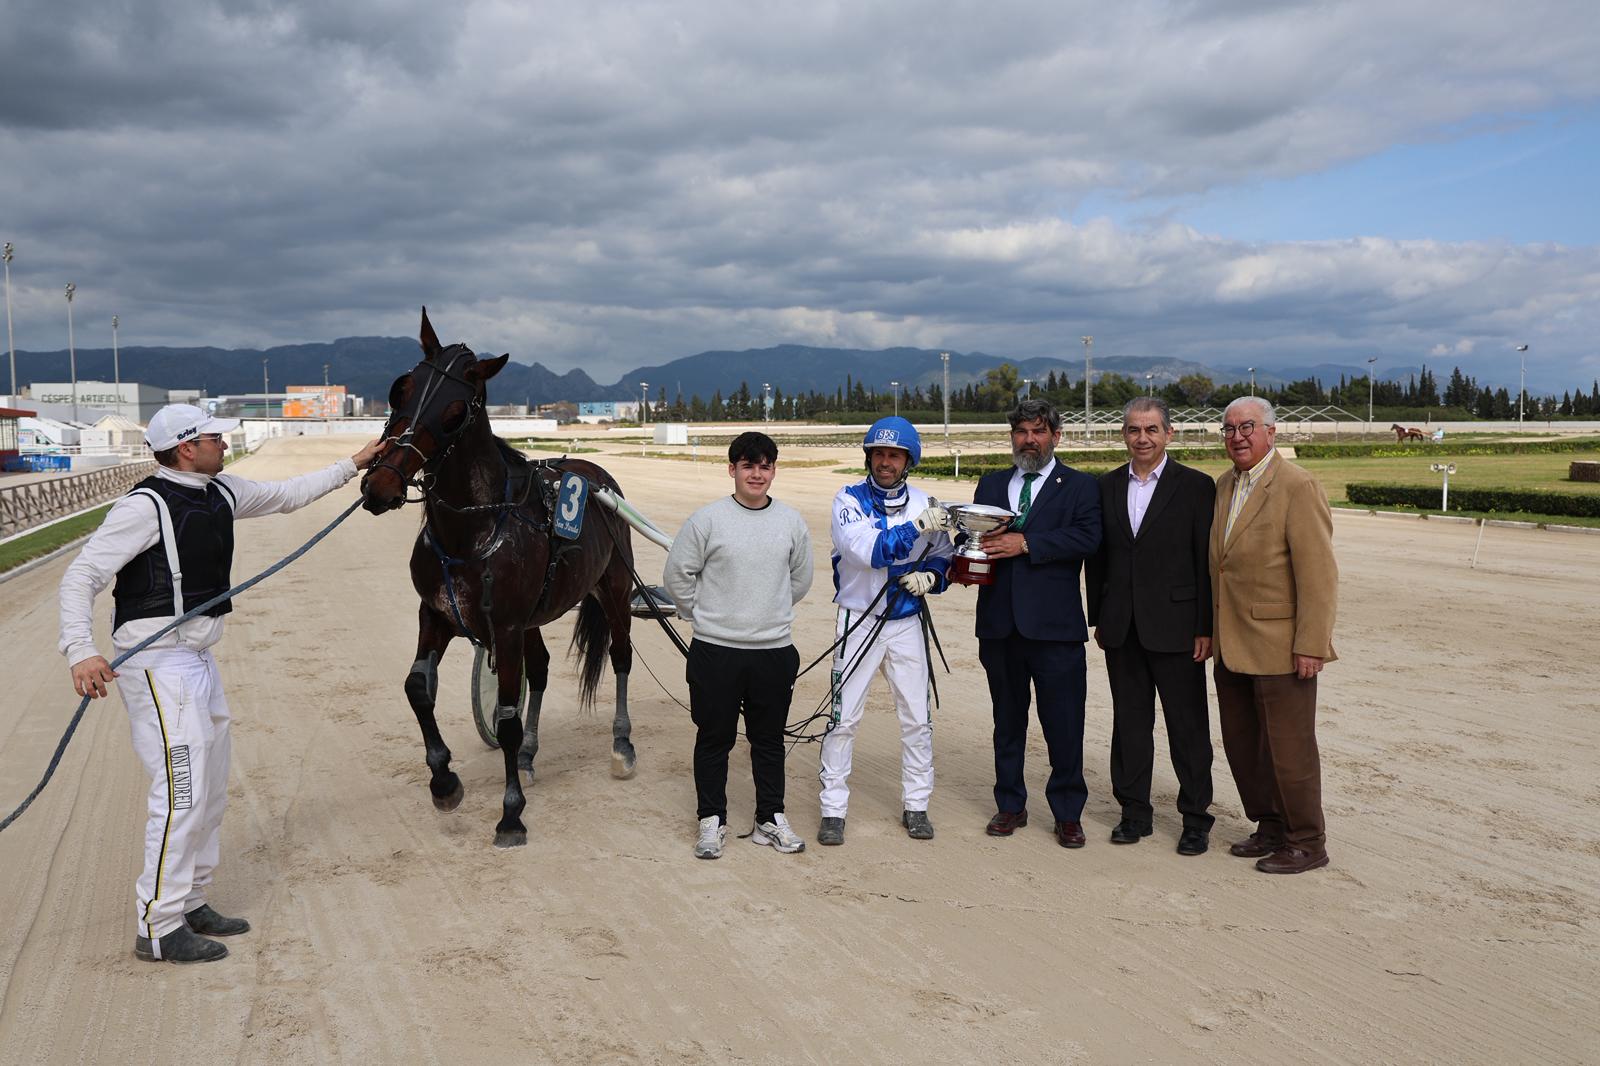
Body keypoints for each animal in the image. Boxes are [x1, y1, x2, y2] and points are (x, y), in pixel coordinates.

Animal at [360, 309, 638, 848]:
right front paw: (444, 781)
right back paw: (528, 755)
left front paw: (511, 814)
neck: (474, 530)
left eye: (455, 411)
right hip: (534, 618)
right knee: (543, 668)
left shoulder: (505, 629)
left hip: (614, 588)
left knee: (620, 655)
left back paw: (621, 744)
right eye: (401, 389)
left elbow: (505, 718)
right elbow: (417, 688)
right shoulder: (437, 615)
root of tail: (597, 476)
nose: (380, 484)